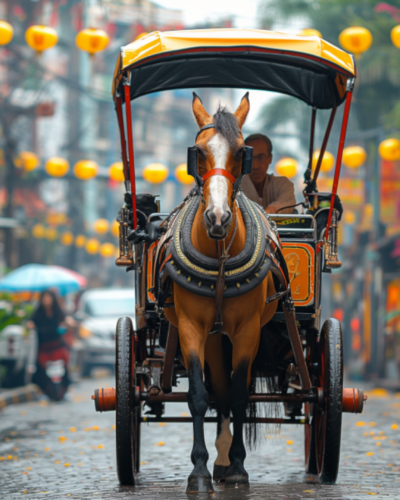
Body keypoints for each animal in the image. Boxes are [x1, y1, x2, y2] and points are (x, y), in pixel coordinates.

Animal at [163, 94, 278, 492]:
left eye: (242, 152)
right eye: (198, 153)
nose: (217, 218)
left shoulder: (248, 329)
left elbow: (241, 394)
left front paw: (239, 467)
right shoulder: (190, 327)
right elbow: (199, 396)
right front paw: (198, 472)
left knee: (230, 391)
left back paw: (229, 461)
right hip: (213, 337)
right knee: (218, 389)